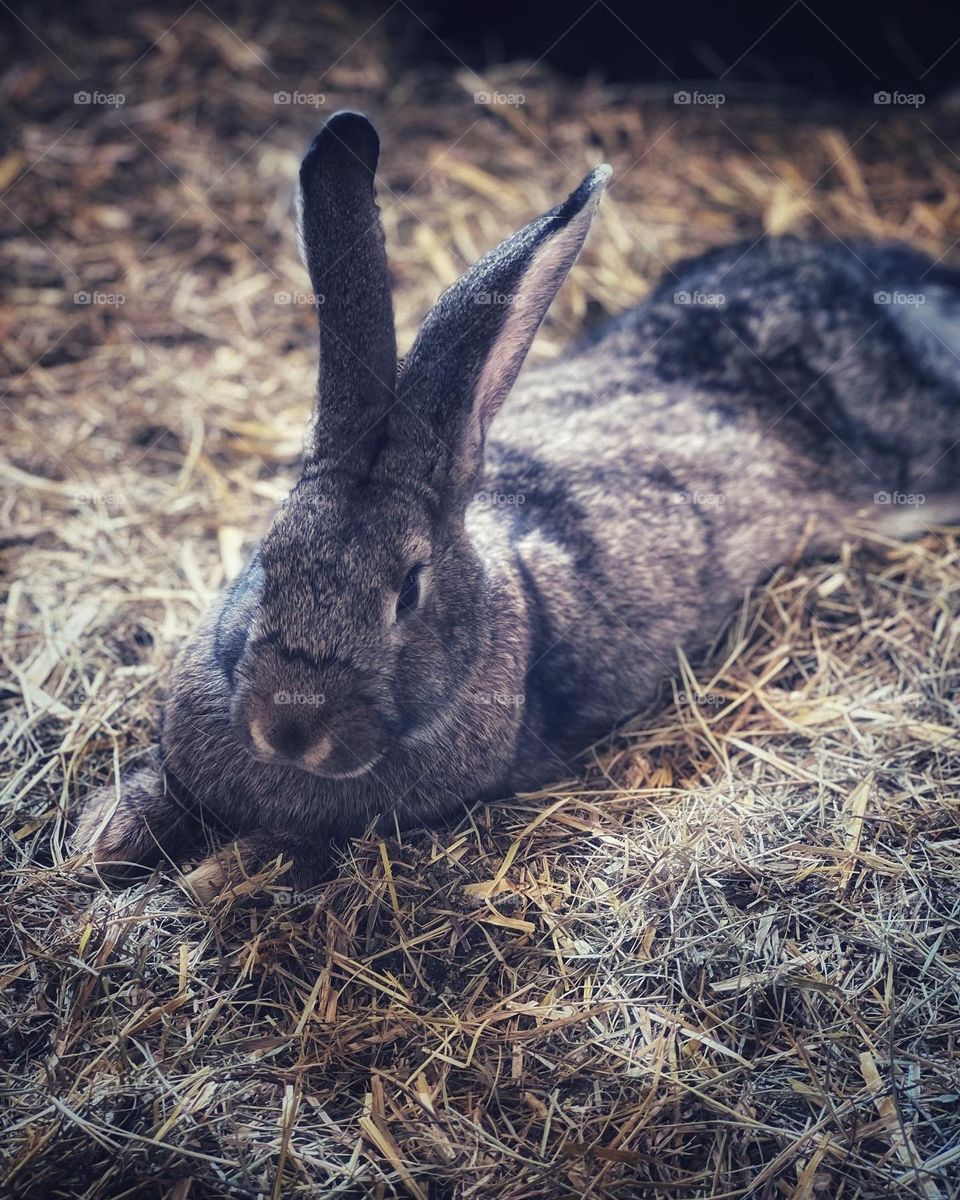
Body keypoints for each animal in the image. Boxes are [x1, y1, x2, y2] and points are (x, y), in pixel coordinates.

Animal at [72, 110, 960, 900]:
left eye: (408, 593)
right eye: (267, 561)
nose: (289, 731)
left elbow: (289, 851)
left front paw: (209, 878)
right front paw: (101, 844)